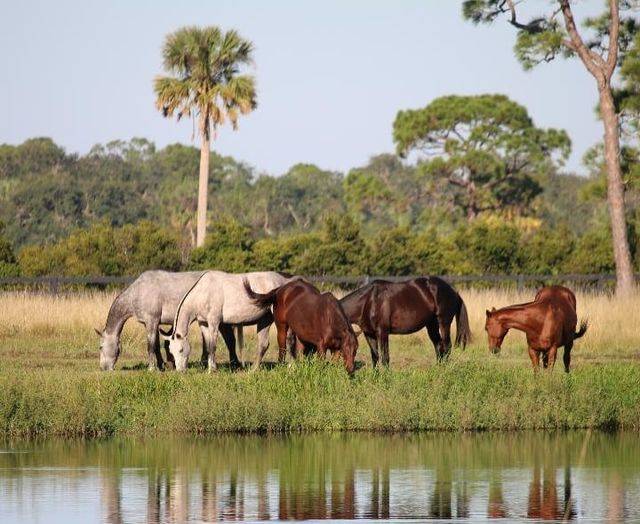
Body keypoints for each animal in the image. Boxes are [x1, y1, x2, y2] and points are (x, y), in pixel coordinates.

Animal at [94, 270, 243, 371]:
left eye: (100, 347)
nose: (103, 367)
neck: (139, 291)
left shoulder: (152, 321)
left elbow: (150, 346)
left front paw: (152, 368)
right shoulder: (151, 324)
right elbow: (156, 345)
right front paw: (161, 366)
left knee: (230, 340)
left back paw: (235, 364)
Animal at [339, 277, 471, 366]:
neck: (369, 301)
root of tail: (454, 291)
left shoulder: (382, 333)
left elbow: (385, 358)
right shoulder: (369, 334)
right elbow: (375, 357)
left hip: (444, 323)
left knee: (447, 346)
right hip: (432, 325)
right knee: (439, 347)